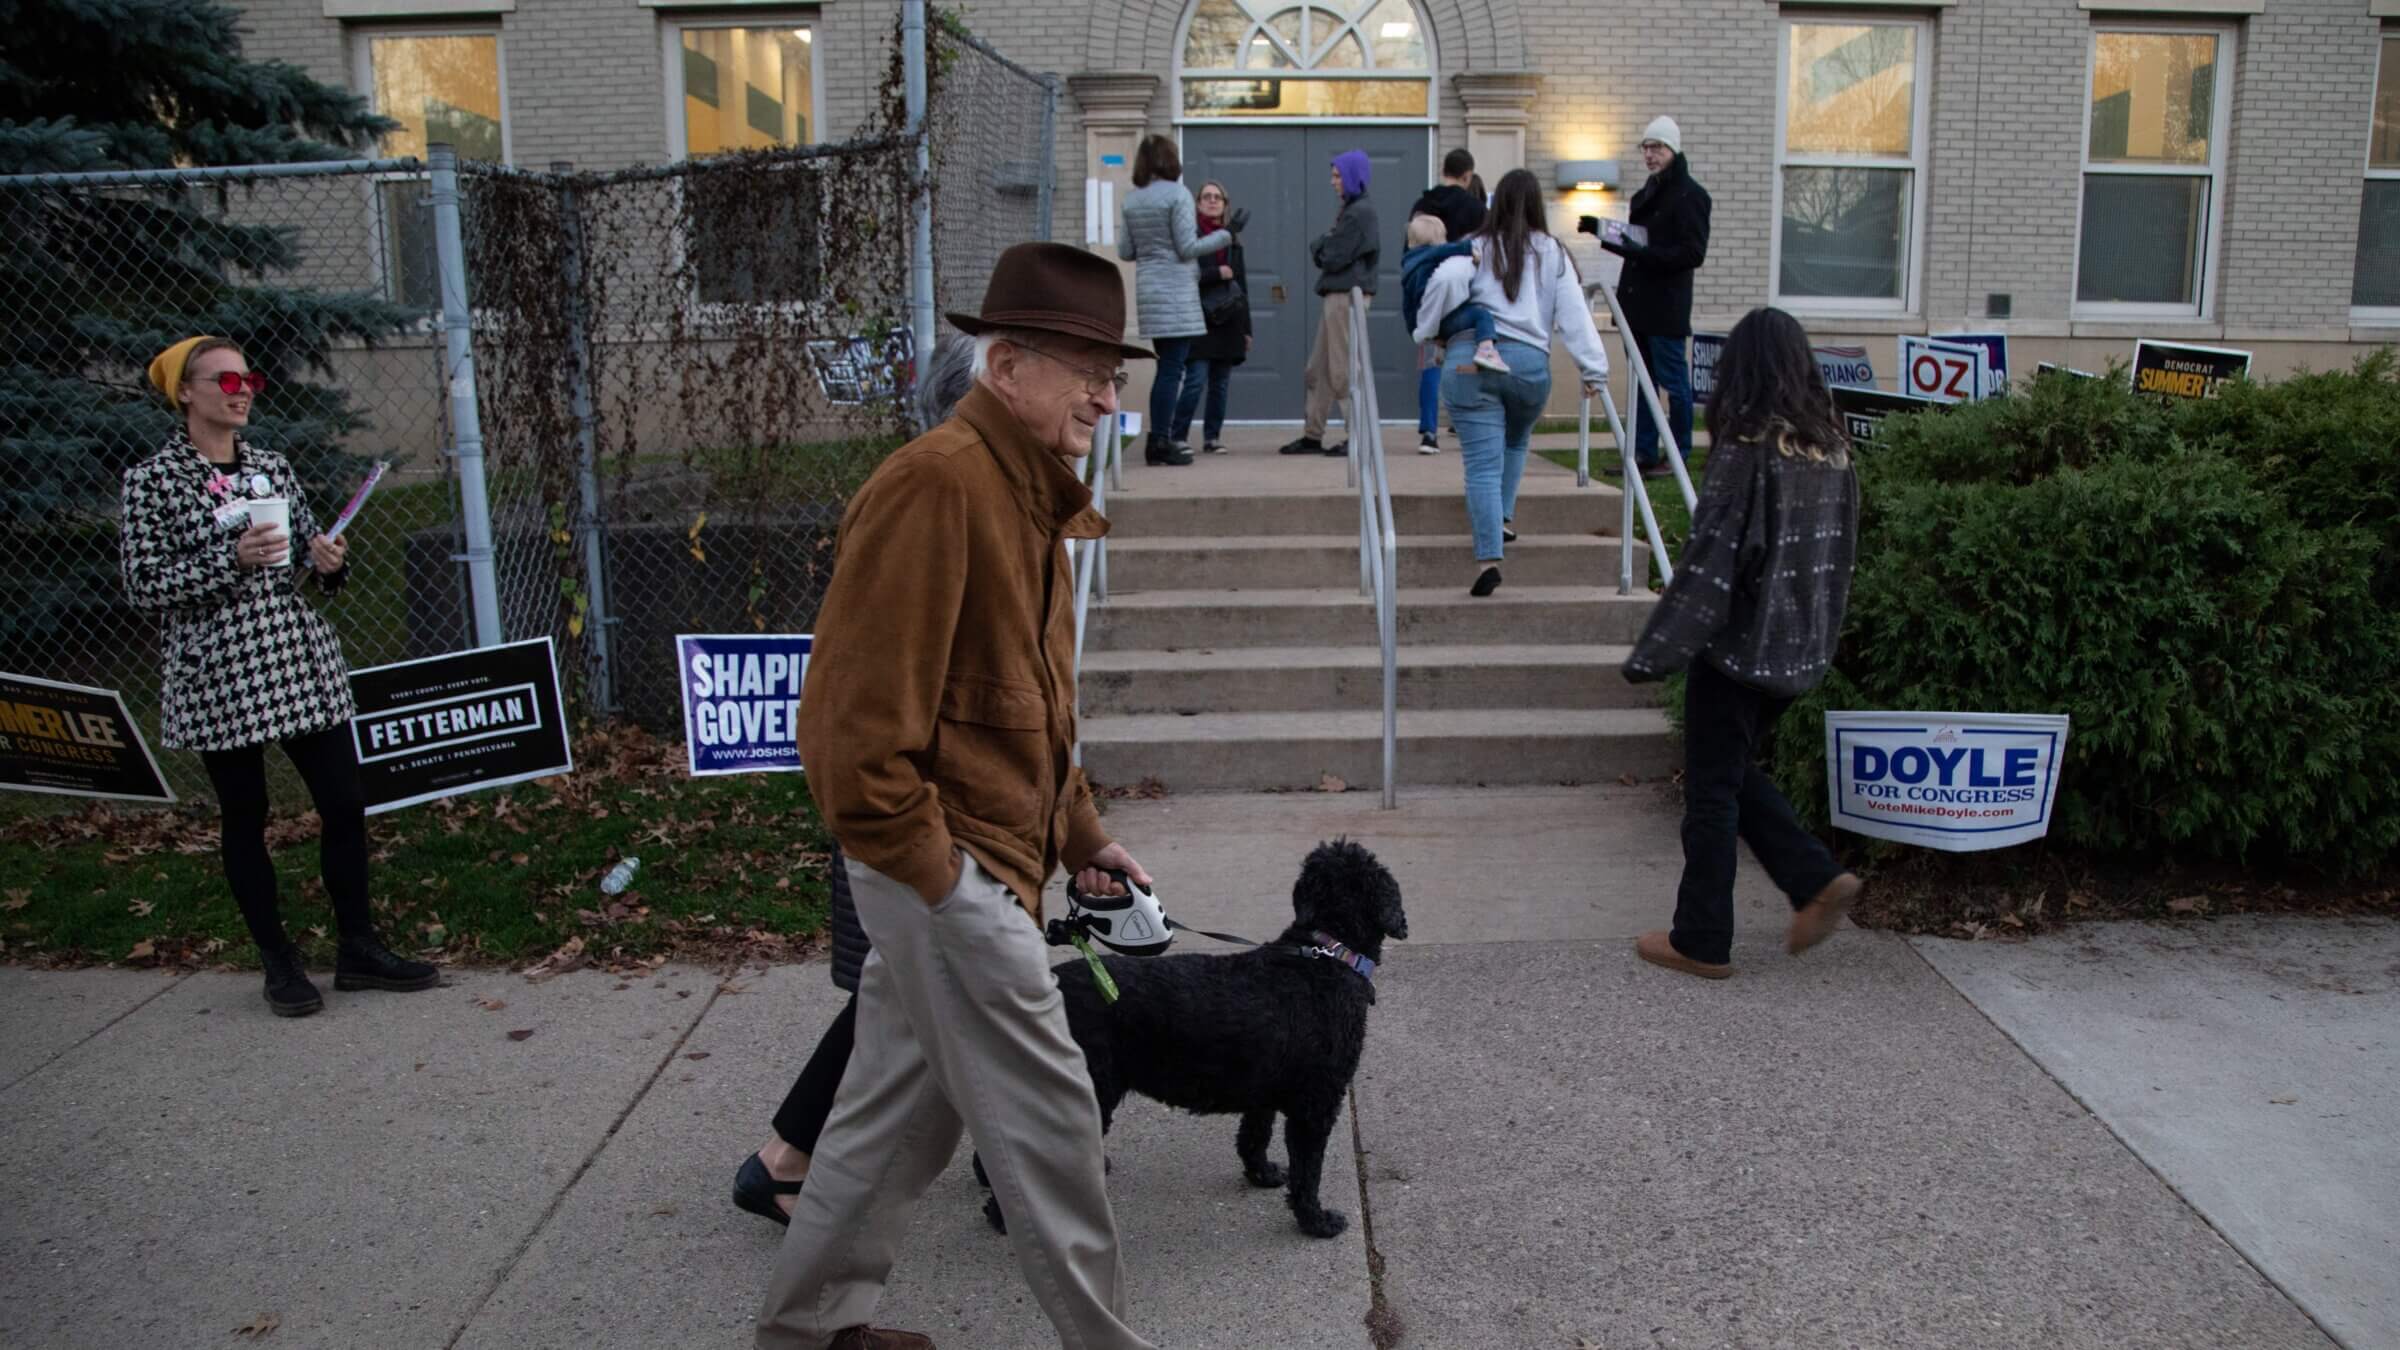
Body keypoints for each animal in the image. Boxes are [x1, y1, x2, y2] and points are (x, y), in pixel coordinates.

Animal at [974, 835, 1401, 1239]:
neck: (1325, 953)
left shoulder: (1262, 1091)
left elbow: (1254, 1136)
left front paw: (1261, 1174)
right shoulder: (1316, 1102)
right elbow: (1308, 1170)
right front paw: (1316, 1220)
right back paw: (1004, 1218)